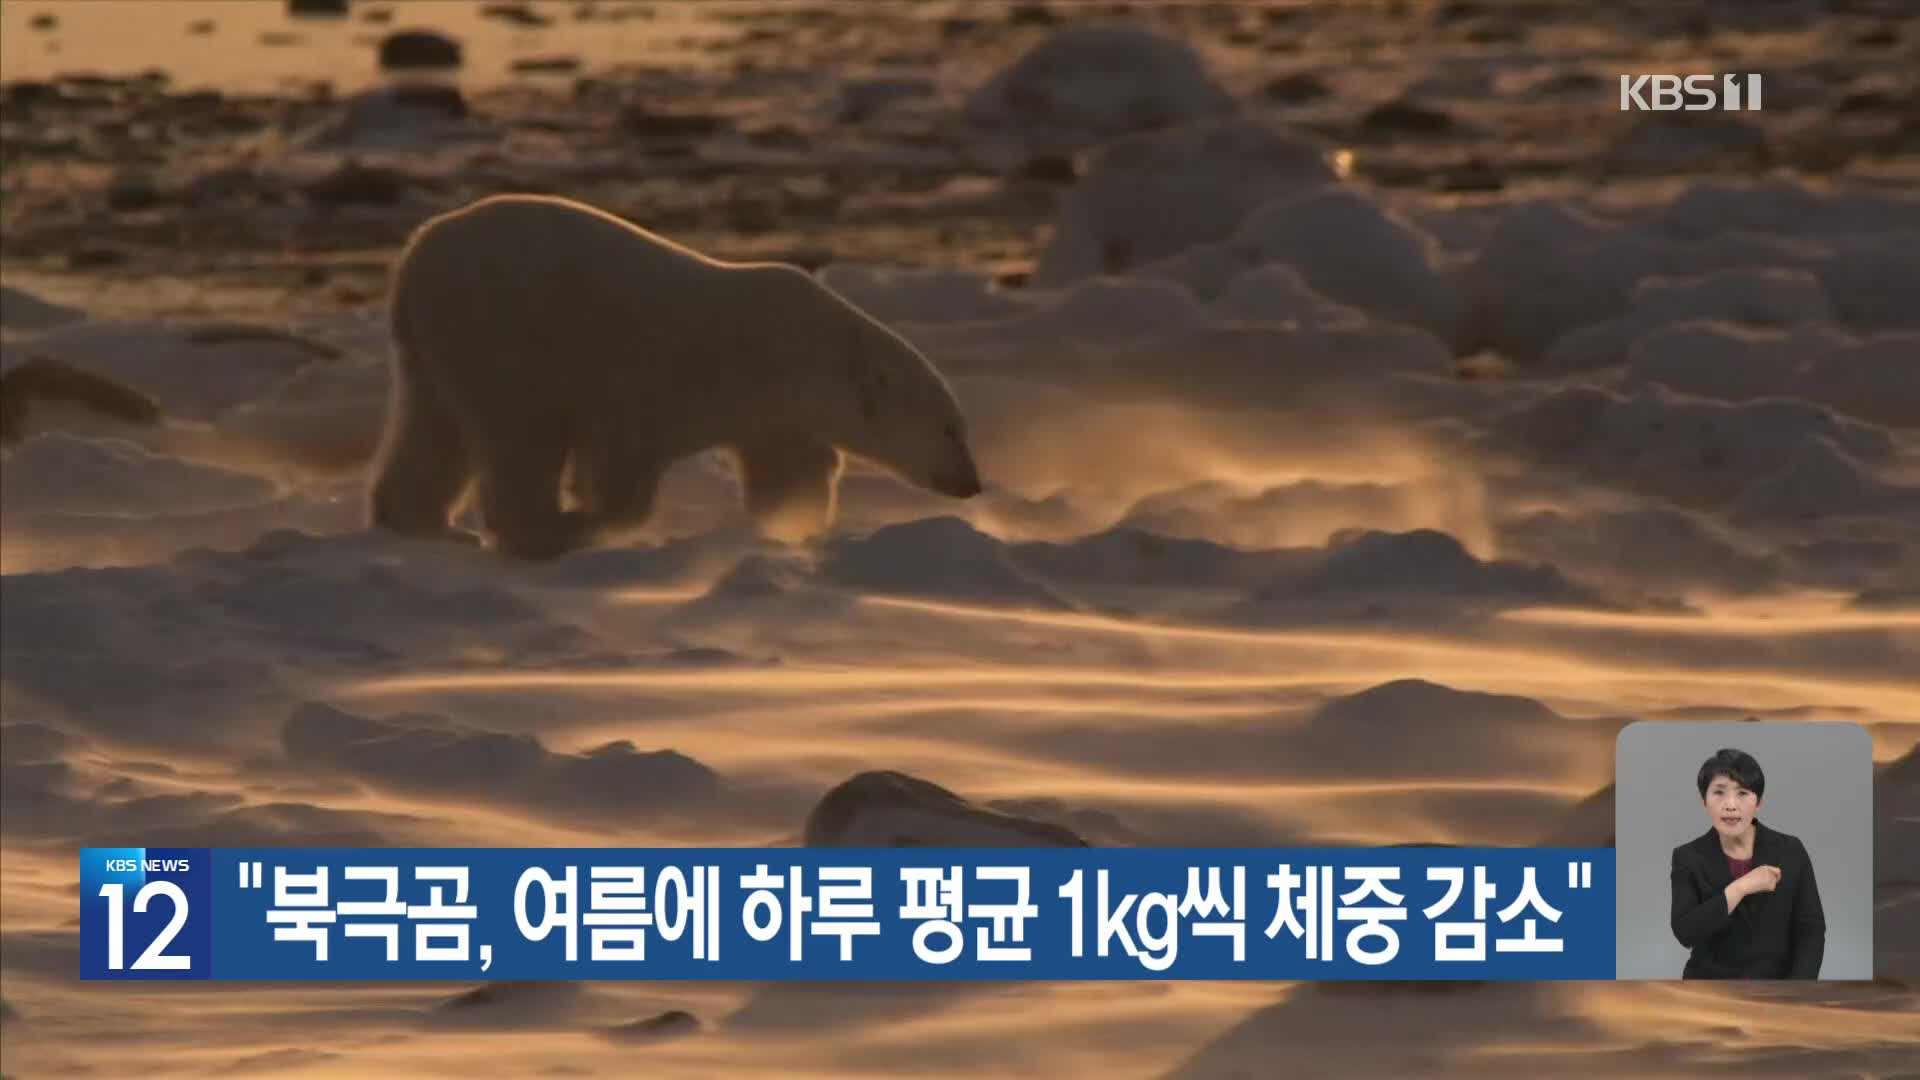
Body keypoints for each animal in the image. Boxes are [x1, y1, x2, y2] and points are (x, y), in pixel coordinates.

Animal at [368, 194, 983, 557]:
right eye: (950, 428)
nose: (972, 483)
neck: (803, 352)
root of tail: (416, 255)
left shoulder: (777, 412)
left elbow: (791, 471)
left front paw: (790, 526)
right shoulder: (657, 371)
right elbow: (621, 457)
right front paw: (591, 519)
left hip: (436, 345)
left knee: (434, 426)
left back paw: (428, 525)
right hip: (504, 326)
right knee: (519, 431)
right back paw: (538, 531)